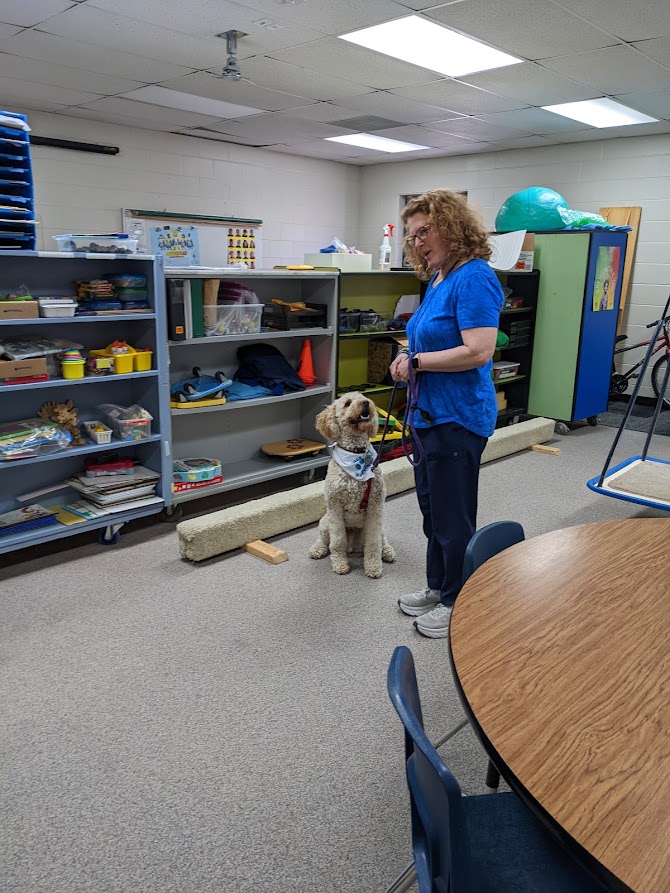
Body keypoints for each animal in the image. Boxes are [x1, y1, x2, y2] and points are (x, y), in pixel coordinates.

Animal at [312, 392, 396, 580]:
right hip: (325, 521)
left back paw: (387, 552)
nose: (366, 403)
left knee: (382, 539)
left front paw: (373, 567)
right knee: (323, 539)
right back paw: (318, 549)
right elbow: (337, 541)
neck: (355, 453)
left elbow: (374, 543)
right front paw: (340, 564)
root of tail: (353, 546)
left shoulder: (375, 507)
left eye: (363, 397)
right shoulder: (335, 507)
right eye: (347, 403)